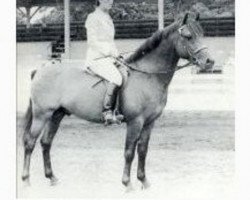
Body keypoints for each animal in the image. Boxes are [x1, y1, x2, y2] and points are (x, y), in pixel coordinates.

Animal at [21, 12, 214, 189]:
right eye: (188, 36)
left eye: (202, 33)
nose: (209, 62)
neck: (148, 76)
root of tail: (40, 70)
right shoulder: (135, 122)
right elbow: (129, 152)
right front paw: (127, 184)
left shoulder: (149, 122)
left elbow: (142, 150)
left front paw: (144, 181)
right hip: (41, 115)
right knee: (30, 143)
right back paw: (26, 180)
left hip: (56, 115)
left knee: (46, 142)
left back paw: (52, 177)